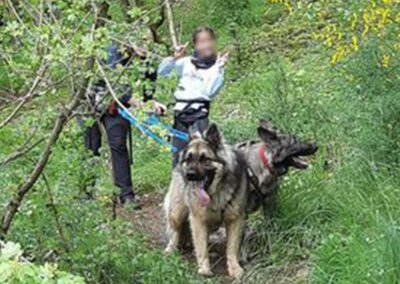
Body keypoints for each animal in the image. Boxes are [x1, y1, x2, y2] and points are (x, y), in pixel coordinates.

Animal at [162, 123, 247, 278]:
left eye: (205, 159)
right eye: (189, 159)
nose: (189, 175)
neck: (216, 194)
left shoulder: (235, 219)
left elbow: (232, 247)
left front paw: (234, 268)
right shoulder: (198, 219)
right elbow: (201, 246)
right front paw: (204, 269)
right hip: (177, 214)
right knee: (174, 232)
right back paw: (170, 250)